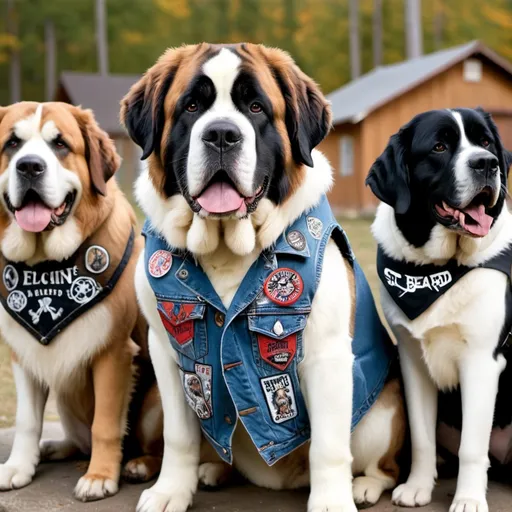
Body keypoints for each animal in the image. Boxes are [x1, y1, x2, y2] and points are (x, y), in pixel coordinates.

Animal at [121, 44, 404, 512]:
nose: (221, 134)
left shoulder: (326, 355)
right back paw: (206, 470)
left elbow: (329, 445)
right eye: (191, 106)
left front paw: (332, 501)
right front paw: (171, 490)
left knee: (382, 460)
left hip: (382, 417)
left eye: (255, 108)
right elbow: (179, 434)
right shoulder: (167, 350)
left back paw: (365, 485)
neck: (226, 247)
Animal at [366, 108, 512, 512]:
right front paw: (418, 487)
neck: (438, 271)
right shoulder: (412, 359)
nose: (487, 163)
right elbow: (421, 436)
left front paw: (469, 499)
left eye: (486, 142)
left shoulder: (481, 361)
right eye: (439, 147)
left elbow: (473, 448)